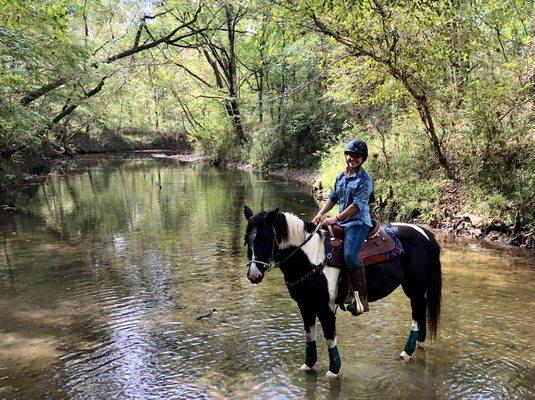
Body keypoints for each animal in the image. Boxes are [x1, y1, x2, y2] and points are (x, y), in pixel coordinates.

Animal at [245, 206, 442, 378]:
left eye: (266, 238)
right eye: (247, 239)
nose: (254, 275)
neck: (311, 258)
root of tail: (426, 235)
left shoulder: (325, 307)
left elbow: (329, 338)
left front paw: (333, 371)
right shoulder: (305, 305)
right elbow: (309, 336)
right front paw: (308, 365)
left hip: (414, 288)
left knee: (417, 313)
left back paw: (406, 352)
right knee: (422, 309)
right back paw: (420, 342)